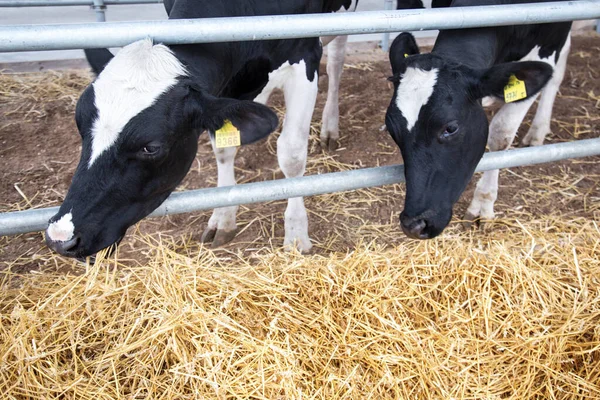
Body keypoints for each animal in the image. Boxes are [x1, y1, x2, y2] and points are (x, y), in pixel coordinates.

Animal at [47, 0, 356, 258]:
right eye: (79, 124)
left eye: (151, 147)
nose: (60, 237)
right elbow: (224, 148)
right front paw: (223, 218)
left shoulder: (304, 56)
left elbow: (291, 155)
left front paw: (296, 235)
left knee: (337, 60)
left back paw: (330, 126)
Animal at [384, 0, 572, 238]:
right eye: (391, 128)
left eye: (451, 128)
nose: (414, 225)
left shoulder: (550, 40)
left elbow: (501, 133)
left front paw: (483, 204)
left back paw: (538, 130)